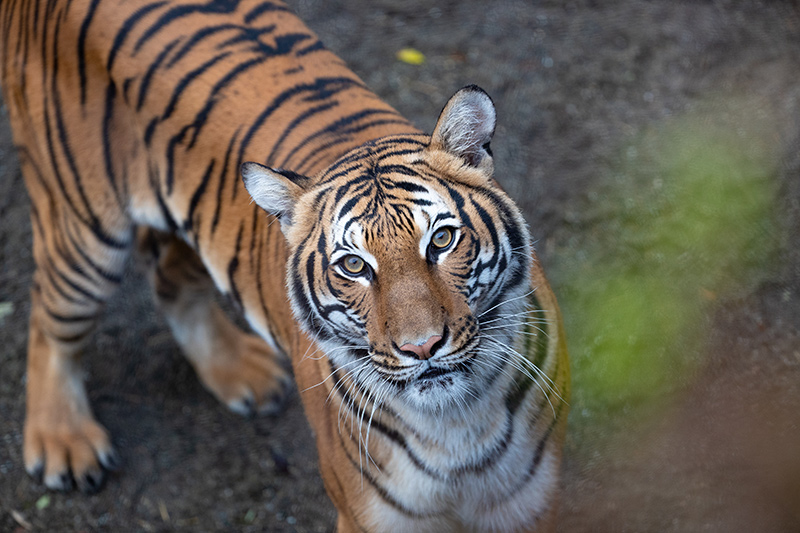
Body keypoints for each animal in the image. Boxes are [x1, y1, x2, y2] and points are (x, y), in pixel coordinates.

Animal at [0, 0, 570, 531]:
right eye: (354, 267)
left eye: (443, 240)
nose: (422, 348)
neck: (457, 425)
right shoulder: (367, 516)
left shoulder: (533, 506)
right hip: (81, 226)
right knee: (50, 316)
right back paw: (64, 442)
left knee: (170, 279)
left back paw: (240, 373)